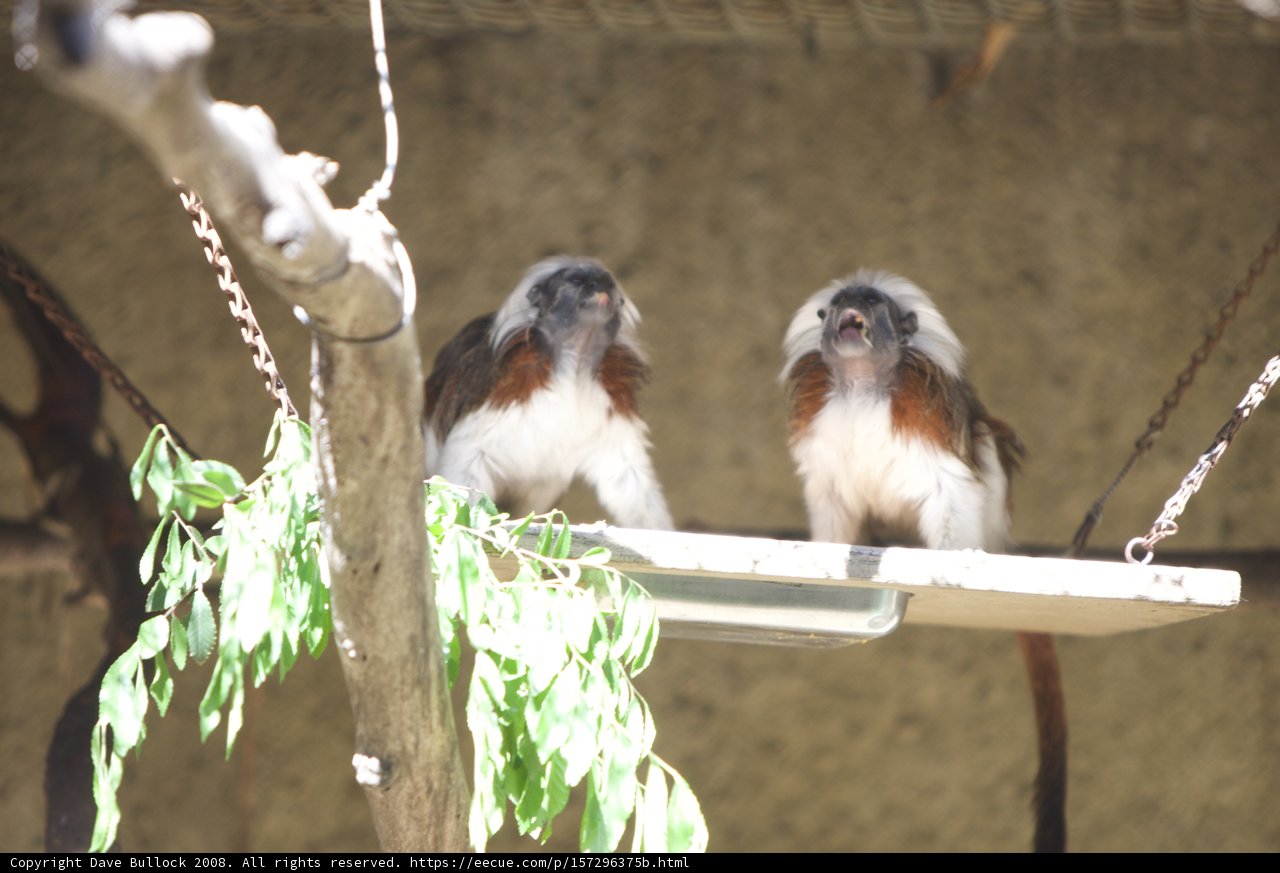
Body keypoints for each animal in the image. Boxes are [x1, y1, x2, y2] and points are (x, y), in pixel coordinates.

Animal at [423, 256, 674, 531]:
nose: (599, 286)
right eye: (577, 280)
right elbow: (467, 460)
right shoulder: (497, 392)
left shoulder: (611, 402)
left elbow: (625, 474)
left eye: (607, 282)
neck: (572, 370)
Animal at [781, 269, 1066, 853]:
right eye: (840, 304)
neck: (861, 387)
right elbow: (830, 496)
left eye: (871, 303)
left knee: (983, 439)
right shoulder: (817, 421)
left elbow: (951, 483)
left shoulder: (928, 412)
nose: (852, 306)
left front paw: (954, 559)